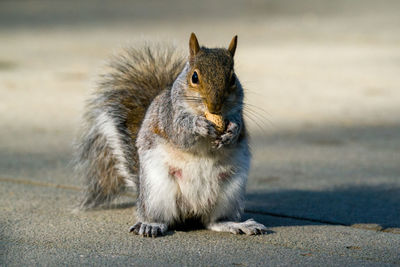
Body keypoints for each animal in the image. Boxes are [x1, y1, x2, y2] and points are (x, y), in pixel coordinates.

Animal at [75, 34, 268, 239]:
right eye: (194, 77)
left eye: (232, 78)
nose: (214, 106)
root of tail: (192, 211)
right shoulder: (169, 118)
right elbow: (180, 134)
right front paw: (198, 126)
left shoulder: (238, 115)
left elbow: (238, 129)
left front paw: (231, 132)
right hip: (157, 189)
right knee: (164, 219)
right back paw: (151, 225)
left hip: (230, 191)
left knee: (213, 221)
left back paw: (237, 224)